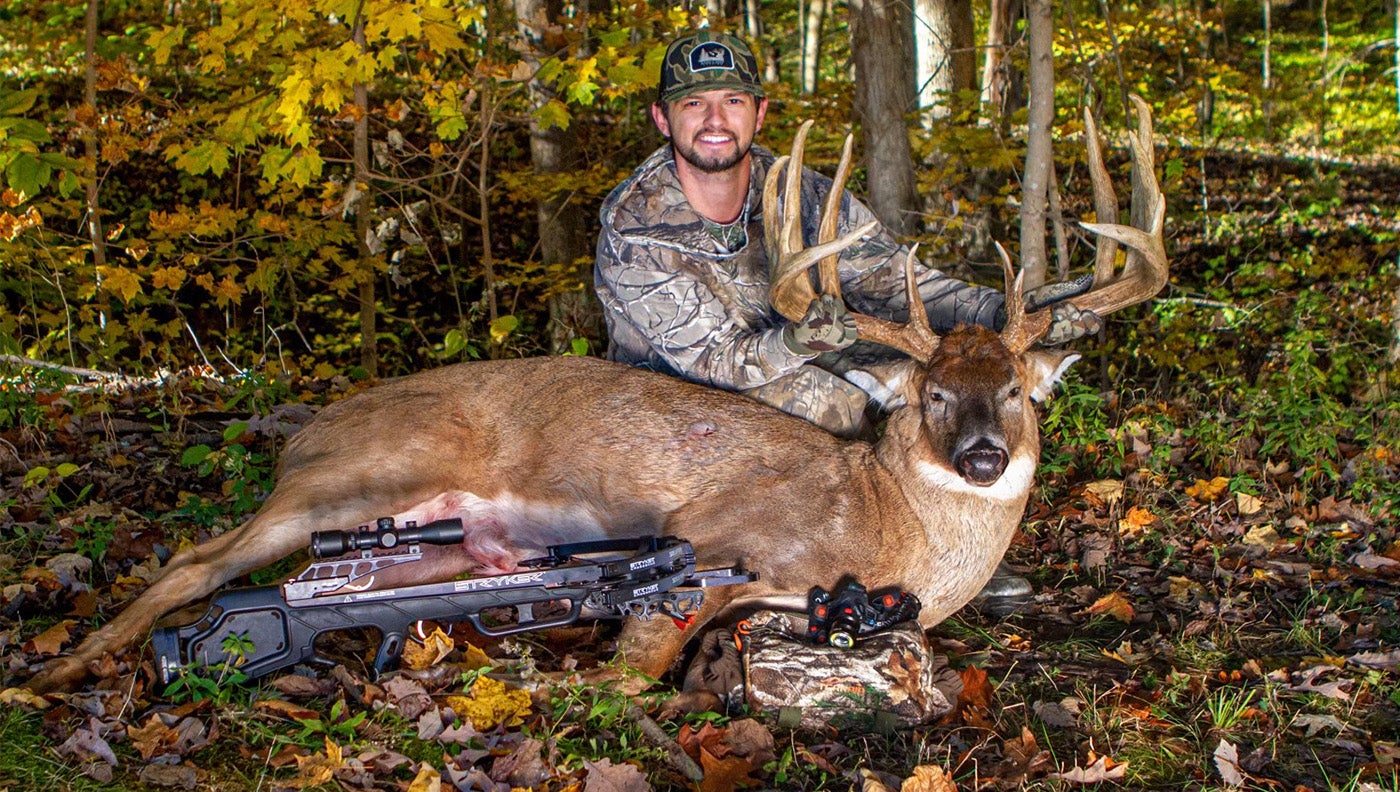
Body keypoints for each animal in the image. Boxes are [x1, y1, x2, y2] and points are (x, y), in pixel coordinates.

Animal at [27, 96, 1167, 696]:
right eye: (930, 394)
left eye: (1013, 388)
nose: (982, 455)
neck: (887, 528)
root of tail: (306, 431)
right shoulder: (715, 536)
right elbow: (634, 666)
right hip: (353, 481)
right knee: (193, 559)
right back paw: (52, 672)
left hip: (428, 537)